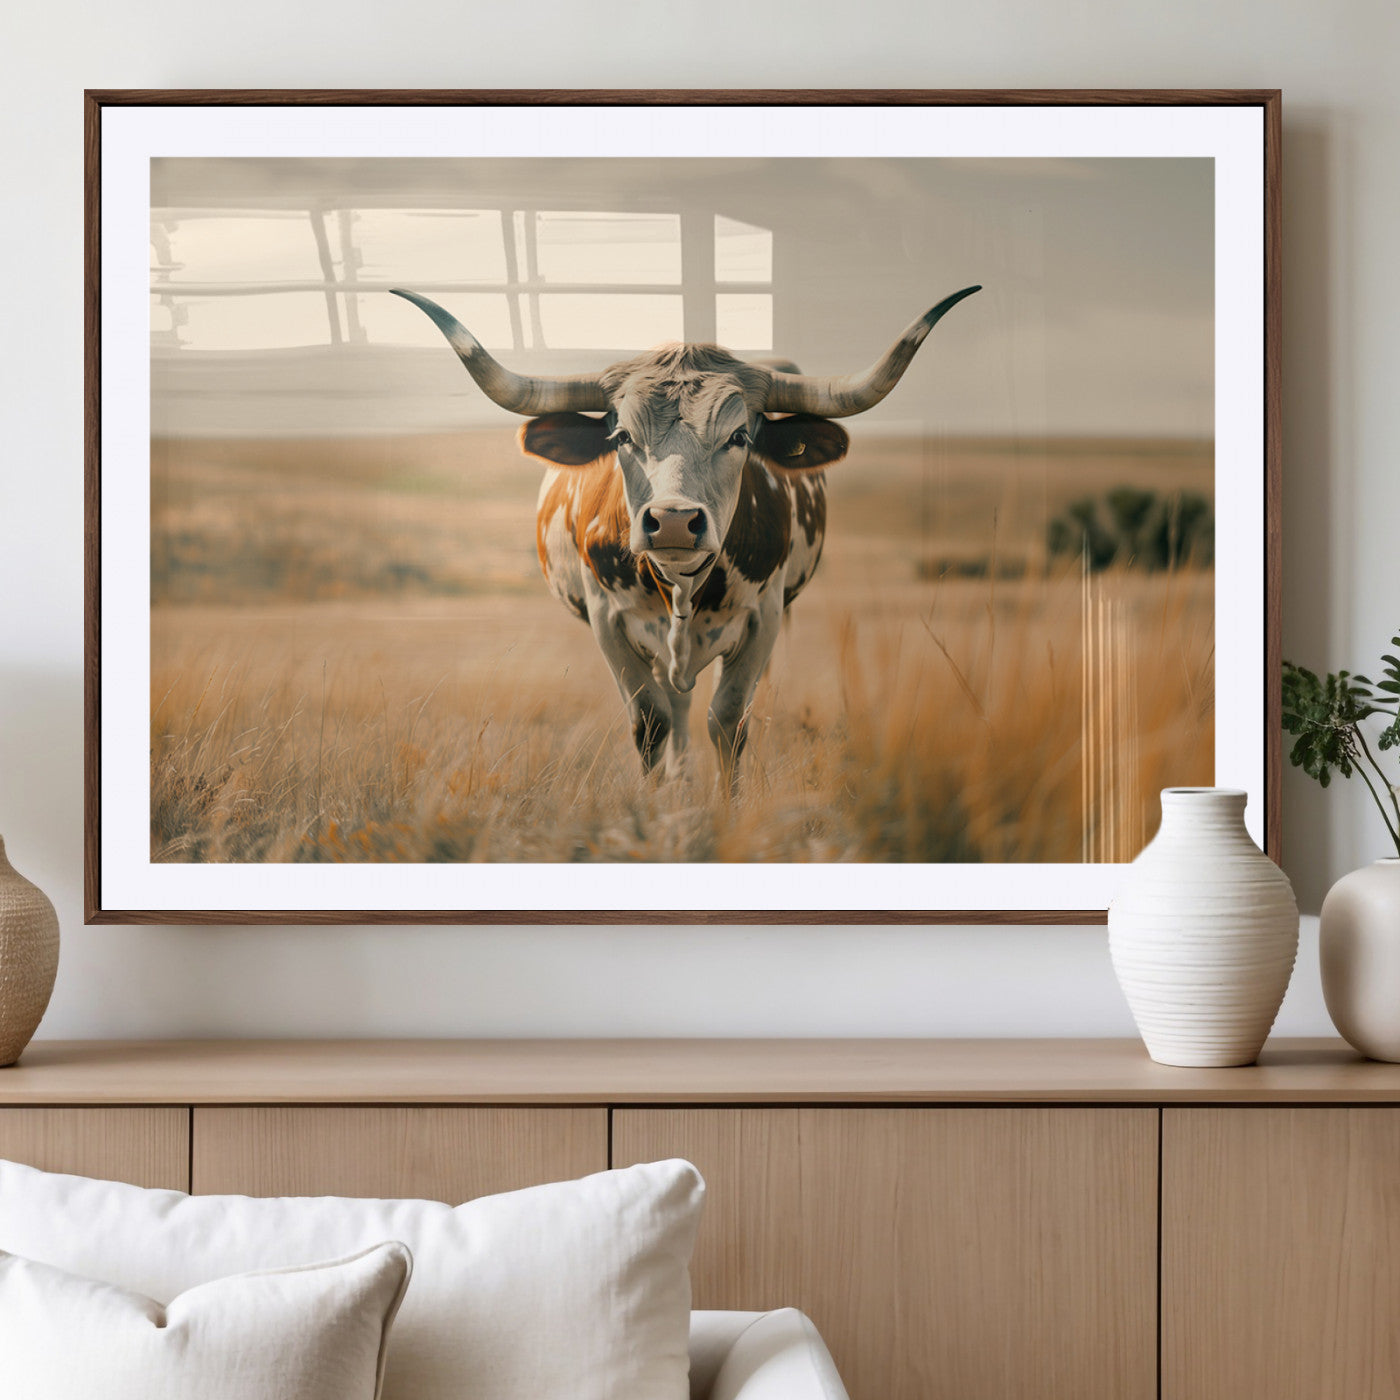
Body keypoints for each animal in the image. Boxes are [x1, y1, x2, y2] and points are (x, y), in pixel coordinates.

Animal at [392, 285, 981, 790]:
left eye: (740, 435)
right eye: (621, 436)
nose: (673, 520)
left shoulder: (764, 618)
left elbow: (728, 721)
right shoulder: (608, 621)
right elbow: (651, 720)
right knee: (672, 706)